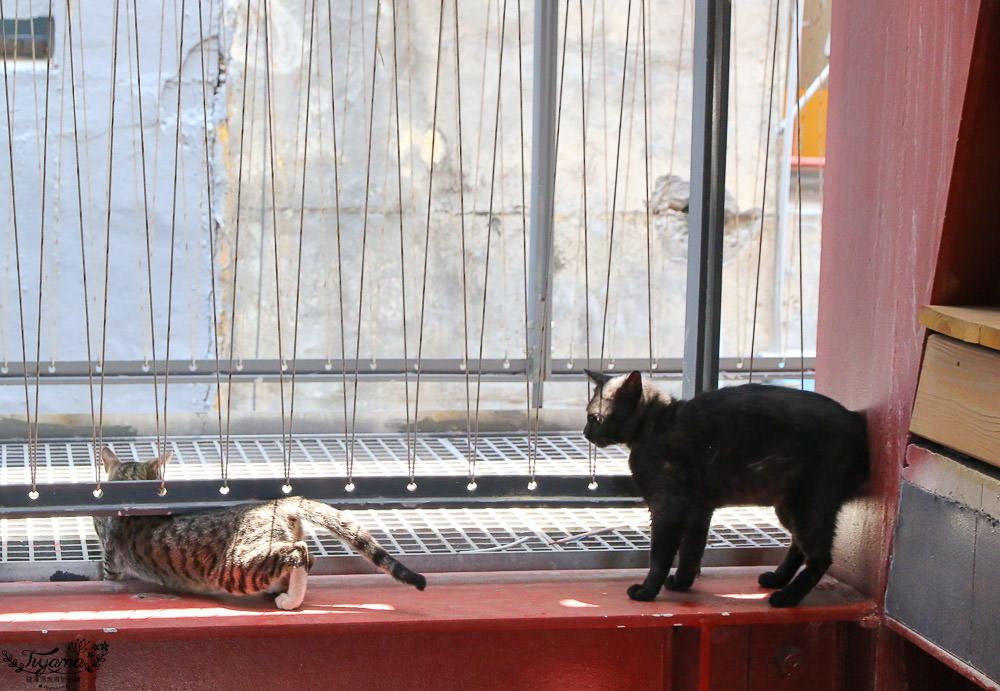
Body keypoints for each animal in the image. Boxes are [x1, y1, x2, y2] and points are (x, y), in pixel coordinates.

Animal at [92, 452, 424, 608]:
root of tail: (281, 501)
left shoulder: (112, 562)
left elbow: (108, 573)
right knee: (305, 556)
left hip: (238, 565)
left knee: (299, 554)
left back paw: (290, 600)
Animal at [584, 370, 868, 608]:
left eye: (594, 417)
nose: (586, 432)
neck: (656, 426)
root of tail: (855, 419)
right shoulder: (699, 509)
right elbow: (691, 551)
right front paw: (682, 584)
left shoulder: (668, 506)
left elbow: (660, 555)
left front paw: (647, 591)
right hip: (788, 506)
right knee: (800, 547)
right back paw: (777, 579)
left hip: (807, 504)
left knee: (821, 557)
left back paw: (787, 597)